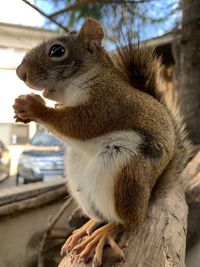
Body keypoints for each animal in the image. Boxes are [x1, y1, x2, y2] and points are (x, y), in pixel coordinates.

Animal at [13, 18, 191, 267]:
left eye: (57, 51)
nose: (20, 73)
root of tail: (146, 201)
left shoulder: (108, 104)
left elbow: (79, 124)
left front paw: (34, 107)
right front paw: (22, 110)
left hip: (123, 170)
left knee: (126, 221)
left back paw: (104, 233)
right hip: (79, 177)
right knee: (100, 214)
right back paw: (86, 227)